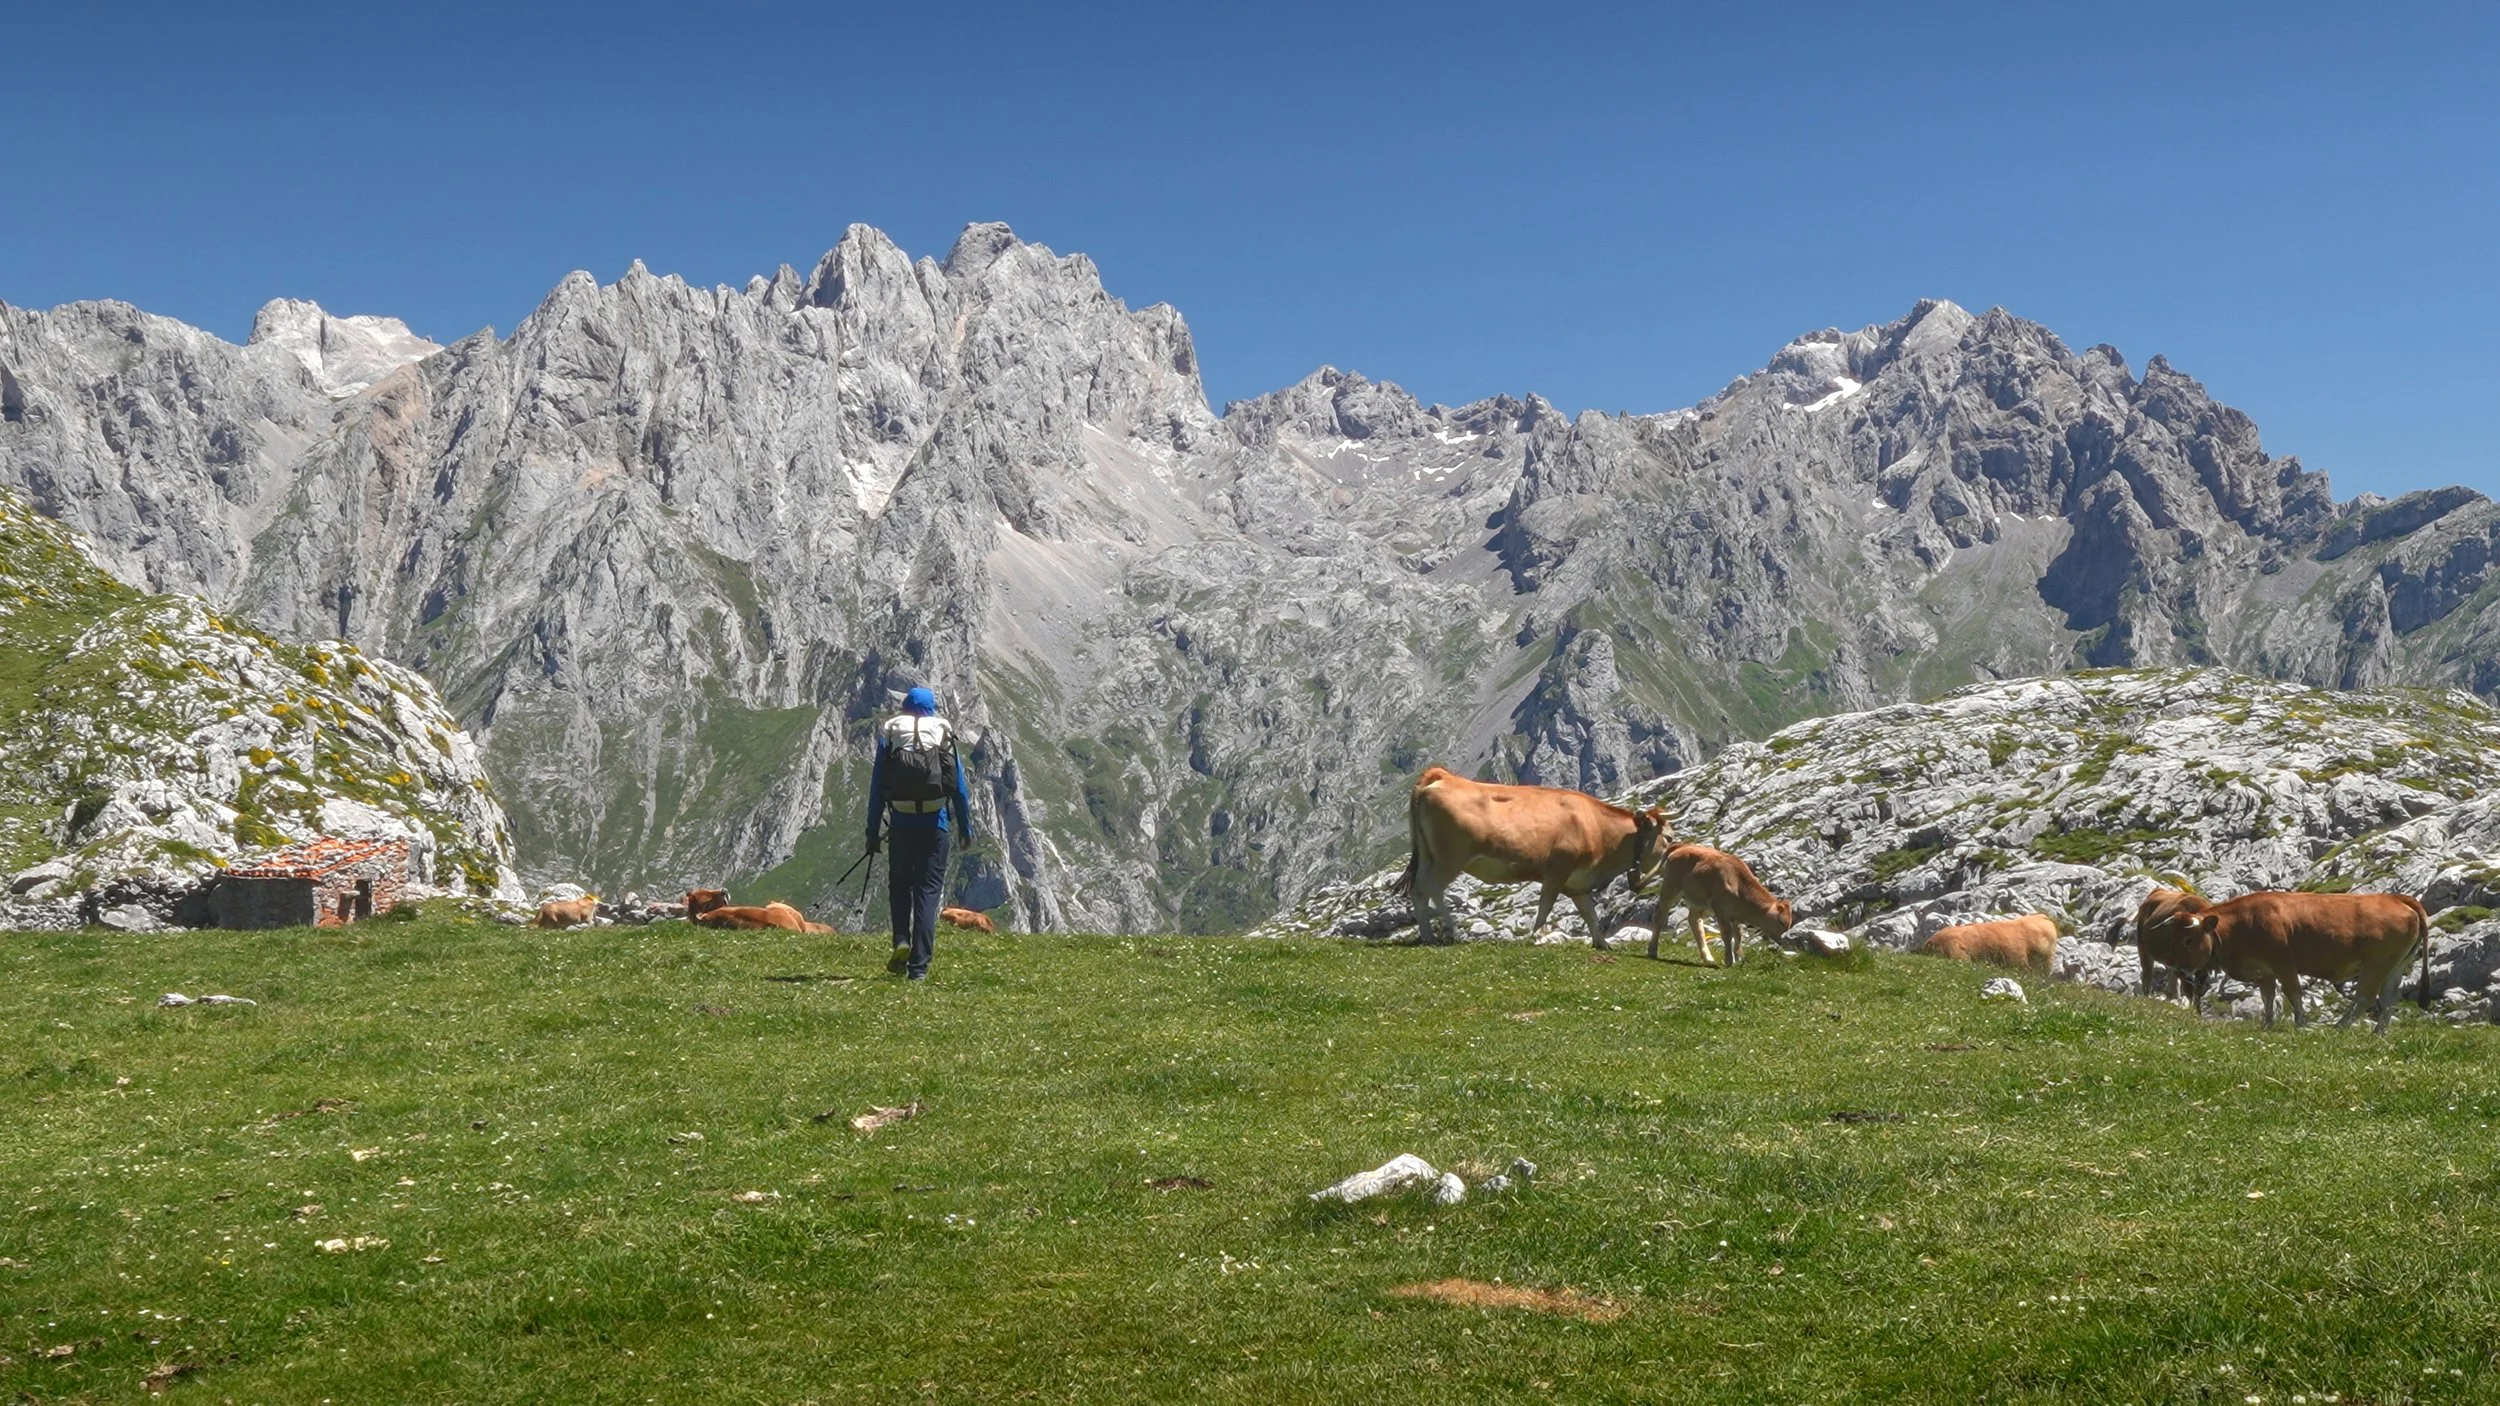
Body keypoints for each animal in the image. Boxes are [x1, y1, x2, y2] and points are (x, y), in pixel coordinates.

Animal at [1392, 766, 1671, 947]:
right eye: (1668, 837)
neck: (1595, 827)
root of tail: (1444, 776)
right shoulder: (1557, 870)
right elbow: (1546, 906)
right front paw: (1535, 935)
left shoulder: (1577, 882)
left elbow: (1589, 913)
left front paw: (1602, 943)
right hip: (1450, 857)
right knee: (1430, 889)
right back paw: (1452, 931)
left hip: (1430, 857)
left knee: (1420, 890)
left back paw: (1428, 935)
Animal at [1640, 844, 1793, 967]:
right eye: (1781, 922)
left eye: (1789, 924)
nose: (1781, 941)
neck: (1738, 883)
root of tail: (1682, 845)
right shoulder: (1720, 909)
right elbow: (1727, 934)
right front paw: (1729, 960)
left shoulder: (1735, 916)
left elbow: (1739, 935)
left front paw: (1739, 958)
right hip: (1671, 888)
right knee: (1659, 914)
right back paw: (1652, 951)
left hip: (1699, 902)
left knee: (1694, 922)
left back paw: (1708, 957)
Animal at [2137, 889, 2431, 1032]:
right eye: (2172, 939)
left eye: (2188, 940)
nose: (2180, 971)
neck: (2241, 925)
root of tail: (2397, 898)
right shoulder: (2264, 970)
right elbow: (2268, 997)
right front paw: (2267, 1024)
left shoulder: (2283, 963)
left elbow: (2293, 993)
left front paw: (2300, 1024)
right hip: (2396, 965)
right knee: (2389, 997)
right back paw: (2378, 1034)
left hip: (2376, 964)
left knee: (2366, 998)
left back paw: (2339, 1027)